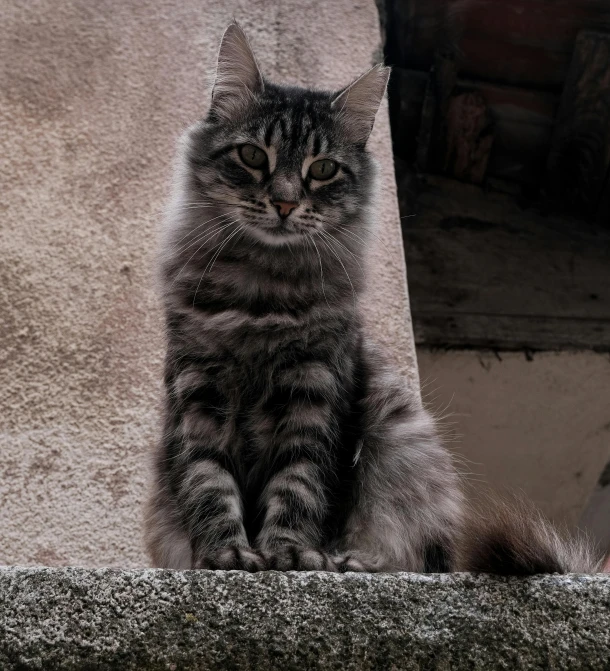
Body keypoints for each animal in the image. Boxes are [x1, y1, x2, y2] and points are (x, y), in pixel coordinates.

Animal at [144, 23, 600, 576]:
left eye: (322, 169)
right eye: (253, 156)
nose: (285, 202)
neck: (263, 288)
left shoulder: (318, 391)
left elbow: (299, 484)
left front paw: (289, 555)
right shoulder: (197, 389)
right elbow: (209, 483)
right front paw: (225, 557)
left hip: (402, 445)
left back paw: (349, 561)